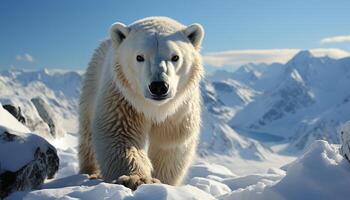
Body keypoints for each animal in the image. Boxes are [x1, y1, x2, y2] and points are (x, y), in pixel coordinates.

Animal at [78, 16, 205, 190]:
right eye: (140, 57)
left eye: (175, 57)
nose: (159, 86)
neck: (155, 108)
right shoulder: (123, 98)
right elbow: (120, 135)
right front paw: (135, 179)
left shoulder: (178, 111)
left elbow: (169, 143)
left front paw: (162, 182)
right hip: (93, 81)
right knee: (87, 134)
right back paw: (91, 172)